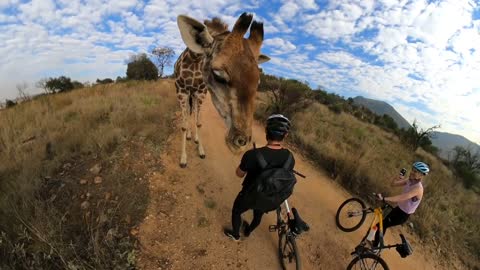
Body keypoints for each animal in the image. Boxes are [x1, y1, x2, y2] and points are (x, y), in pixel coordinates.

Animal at [173, 13, 270, 169]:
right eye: (218, 75)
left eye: (258, 82)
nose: (241, 142)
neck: (194, 59)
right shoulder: (181, 91)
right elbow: (183, 124)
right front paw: (183, 159)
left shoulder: (201, 93)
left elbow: (199, 122)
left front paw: (201, 150)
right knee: (189, 113)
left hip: (194, 95)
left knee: (193, 113)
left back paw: (194, 138)